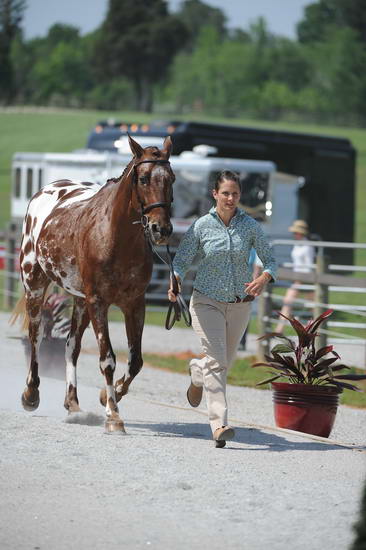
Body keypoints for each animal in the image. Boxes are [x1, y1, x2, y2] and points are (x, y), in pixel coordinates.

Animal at [17, 135, 175, 436]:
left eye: (171, 178)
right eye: (144, 179)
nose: (161, 229)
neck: (116, 237)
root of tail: (46, 190)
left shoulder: (134, 303)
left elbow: (135, 361)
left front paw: (108, 396)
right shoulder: (99, 302)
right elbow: (108, 360)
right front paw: (113, 415)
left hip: (80, 301)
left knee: (71, 346)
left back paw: (73, 404)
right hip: (35, 284)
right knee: (36, 336)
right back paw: (31, 394)